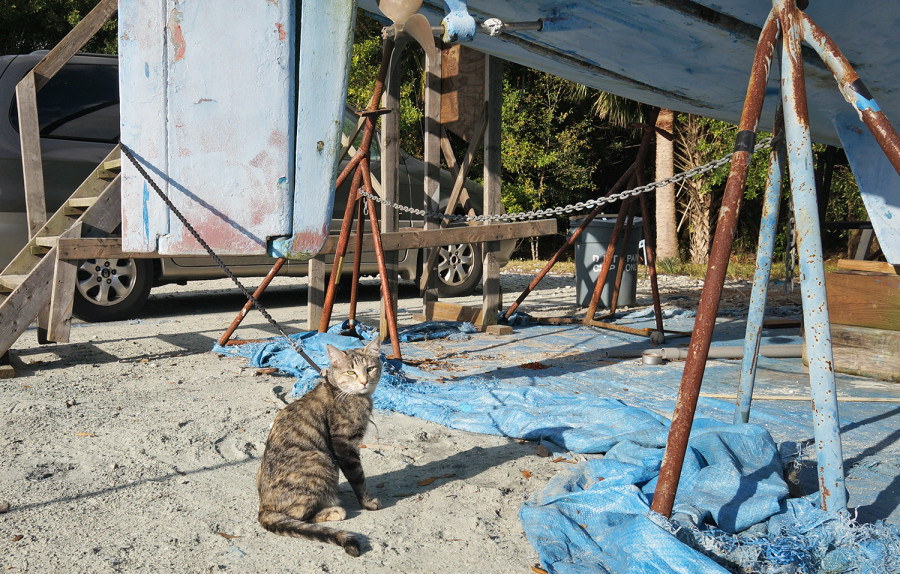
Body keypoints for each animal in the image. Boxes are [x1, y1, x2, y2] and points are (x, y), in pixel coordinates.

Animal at [255, 340, 382, 556]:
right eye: (351, 372)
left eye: (370, 368)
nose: (364, 381)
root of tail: (264, 507)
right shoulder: (344, 446)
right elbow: (358, 478)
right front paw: (367, 502)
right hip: (321, 460)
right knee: (300, 516)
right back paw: (334, 510)